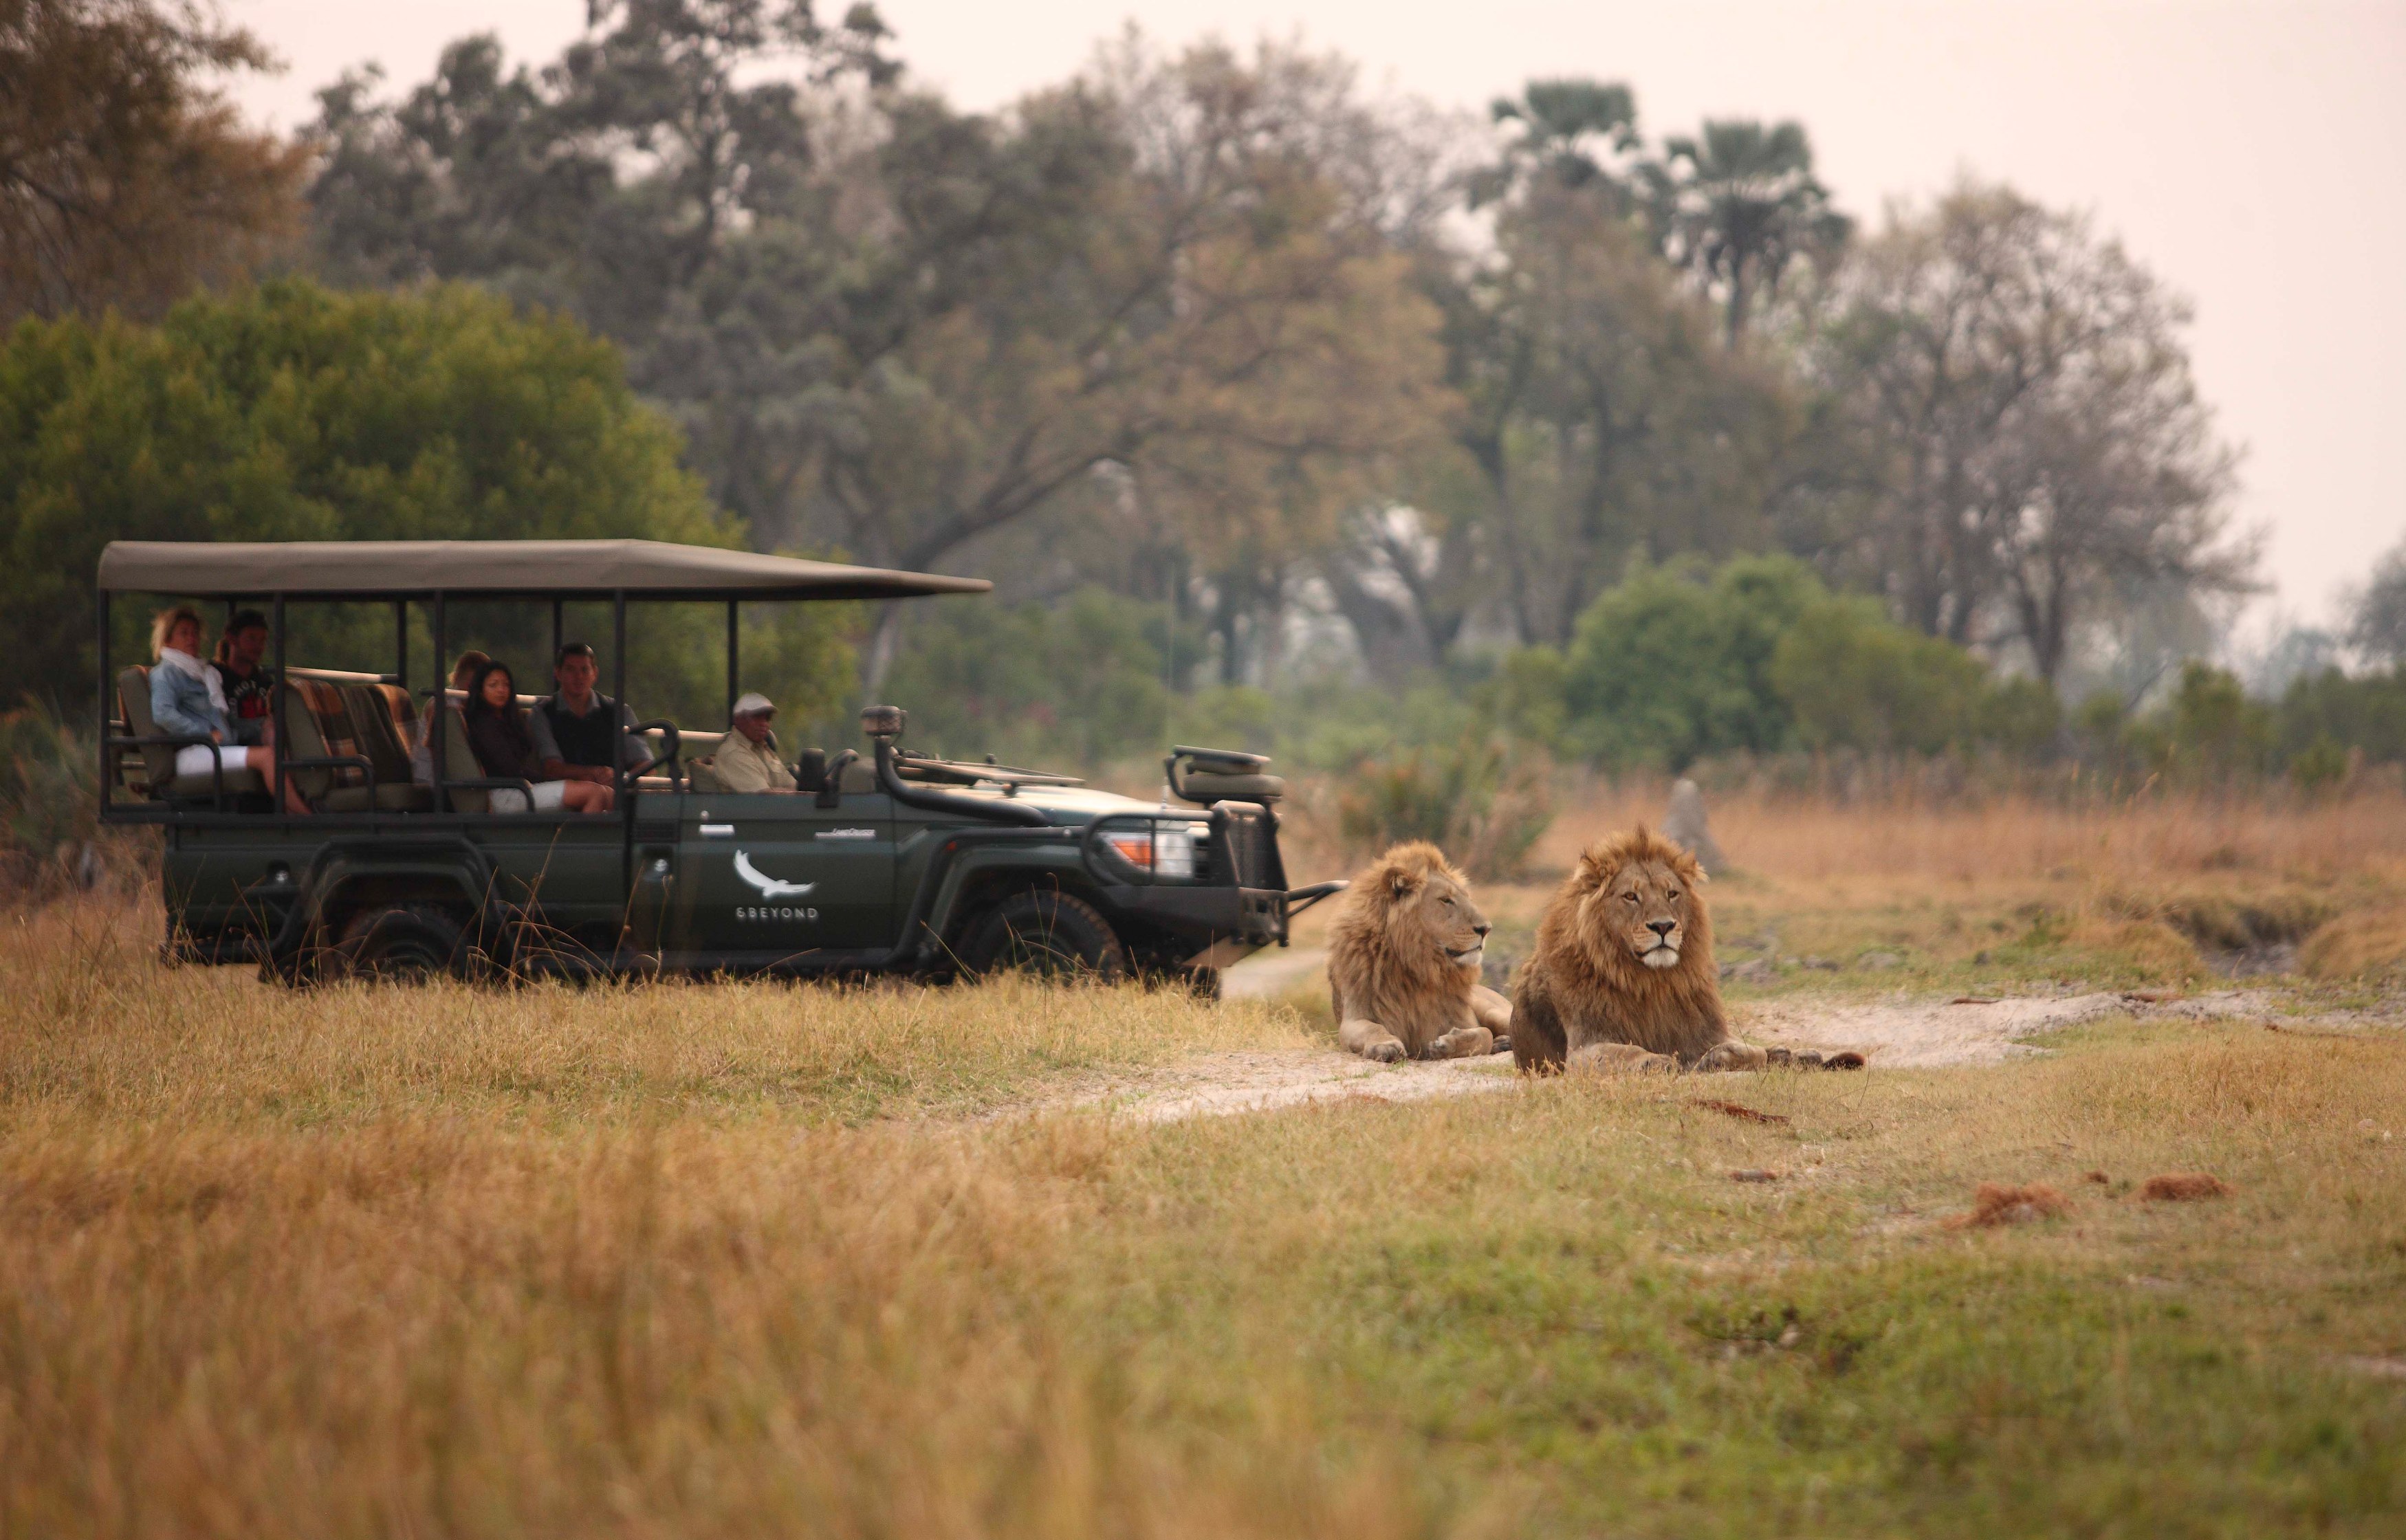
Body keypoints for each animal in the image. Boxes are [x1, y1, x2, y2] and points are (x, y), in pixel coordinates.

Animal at [1326, 842, 1513, 1063]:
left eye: (1468, 897)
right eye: (1446, 900)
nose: (1486, 929)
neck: (1419, 964)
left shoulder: (1460, 1019)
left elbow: (1484, 1034)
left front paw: (1446, 1044)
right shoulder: (1354, 1017)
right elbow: (1372, 1028)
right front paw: (1385, 1045)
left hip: (1493, 1010)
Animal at [1510, 825, 1770, 1075]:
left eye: (1672, 894)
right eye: (1630, 896)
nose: (1663, 926)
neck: (1651, 981)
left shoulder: (1707, 1031)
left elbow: (1755, 1051)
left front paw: (1716, 1057)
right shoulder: (1584, 1045)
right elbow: (1624, 1051)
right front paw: (1655, 1061)